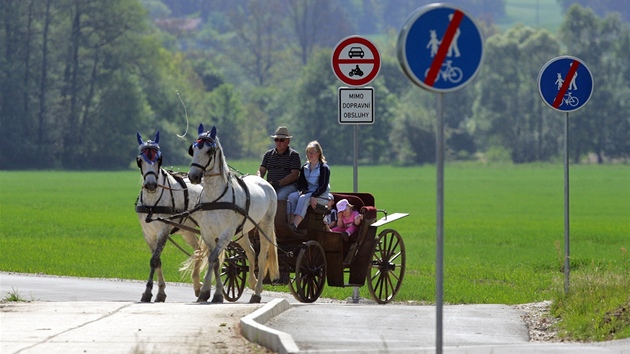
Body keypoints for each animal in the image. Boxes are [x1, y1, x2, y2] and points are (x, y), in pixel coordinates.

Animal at [136, 131, 207, 302]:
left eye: (158, 159)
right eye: (140, 160)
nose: (151, 185)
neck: (152, 202)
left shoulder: (164, 230)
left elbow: (154, 260)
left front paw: (148, 292)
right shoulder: (148, 234)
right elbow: (158, 261)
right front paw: (160, 291)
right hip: (187, 231)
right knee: (198, 251)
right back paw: (197, 285)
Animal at [186, 124, 278, 304]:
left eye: (209, 150)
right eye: (193, 149)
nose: (193, 176)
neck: (215, 198)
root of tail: (265, 183)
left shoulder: (226, 233)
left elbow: (213, 258)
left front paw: (208, 292)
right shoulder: (208, 233)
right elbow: (215, 261)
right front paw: (214, 293)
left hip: (265, 226)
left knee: (262, 256)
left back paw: (257, 292)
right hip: (242, 232)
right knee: (251, 252)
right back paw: (252, 282)